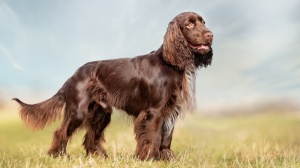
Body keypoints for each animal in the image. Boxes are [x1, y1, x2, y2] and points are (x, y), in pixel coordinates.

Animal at [12, 11, 213, 160]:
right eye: (189, 25)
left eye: (203, 22)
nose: (210, 35)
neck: (170, 62)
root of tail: (73, 76)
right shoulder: (154, 111)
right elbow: (154, 135)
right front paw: (151, 158)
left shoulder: (171, 109)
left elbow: (167, 137)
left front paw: (167, 159)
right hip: (78, 111)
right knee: (61, 132)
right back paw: (58, 156)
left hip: (100, 112)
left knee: (90, 137)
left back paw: (100, 157)